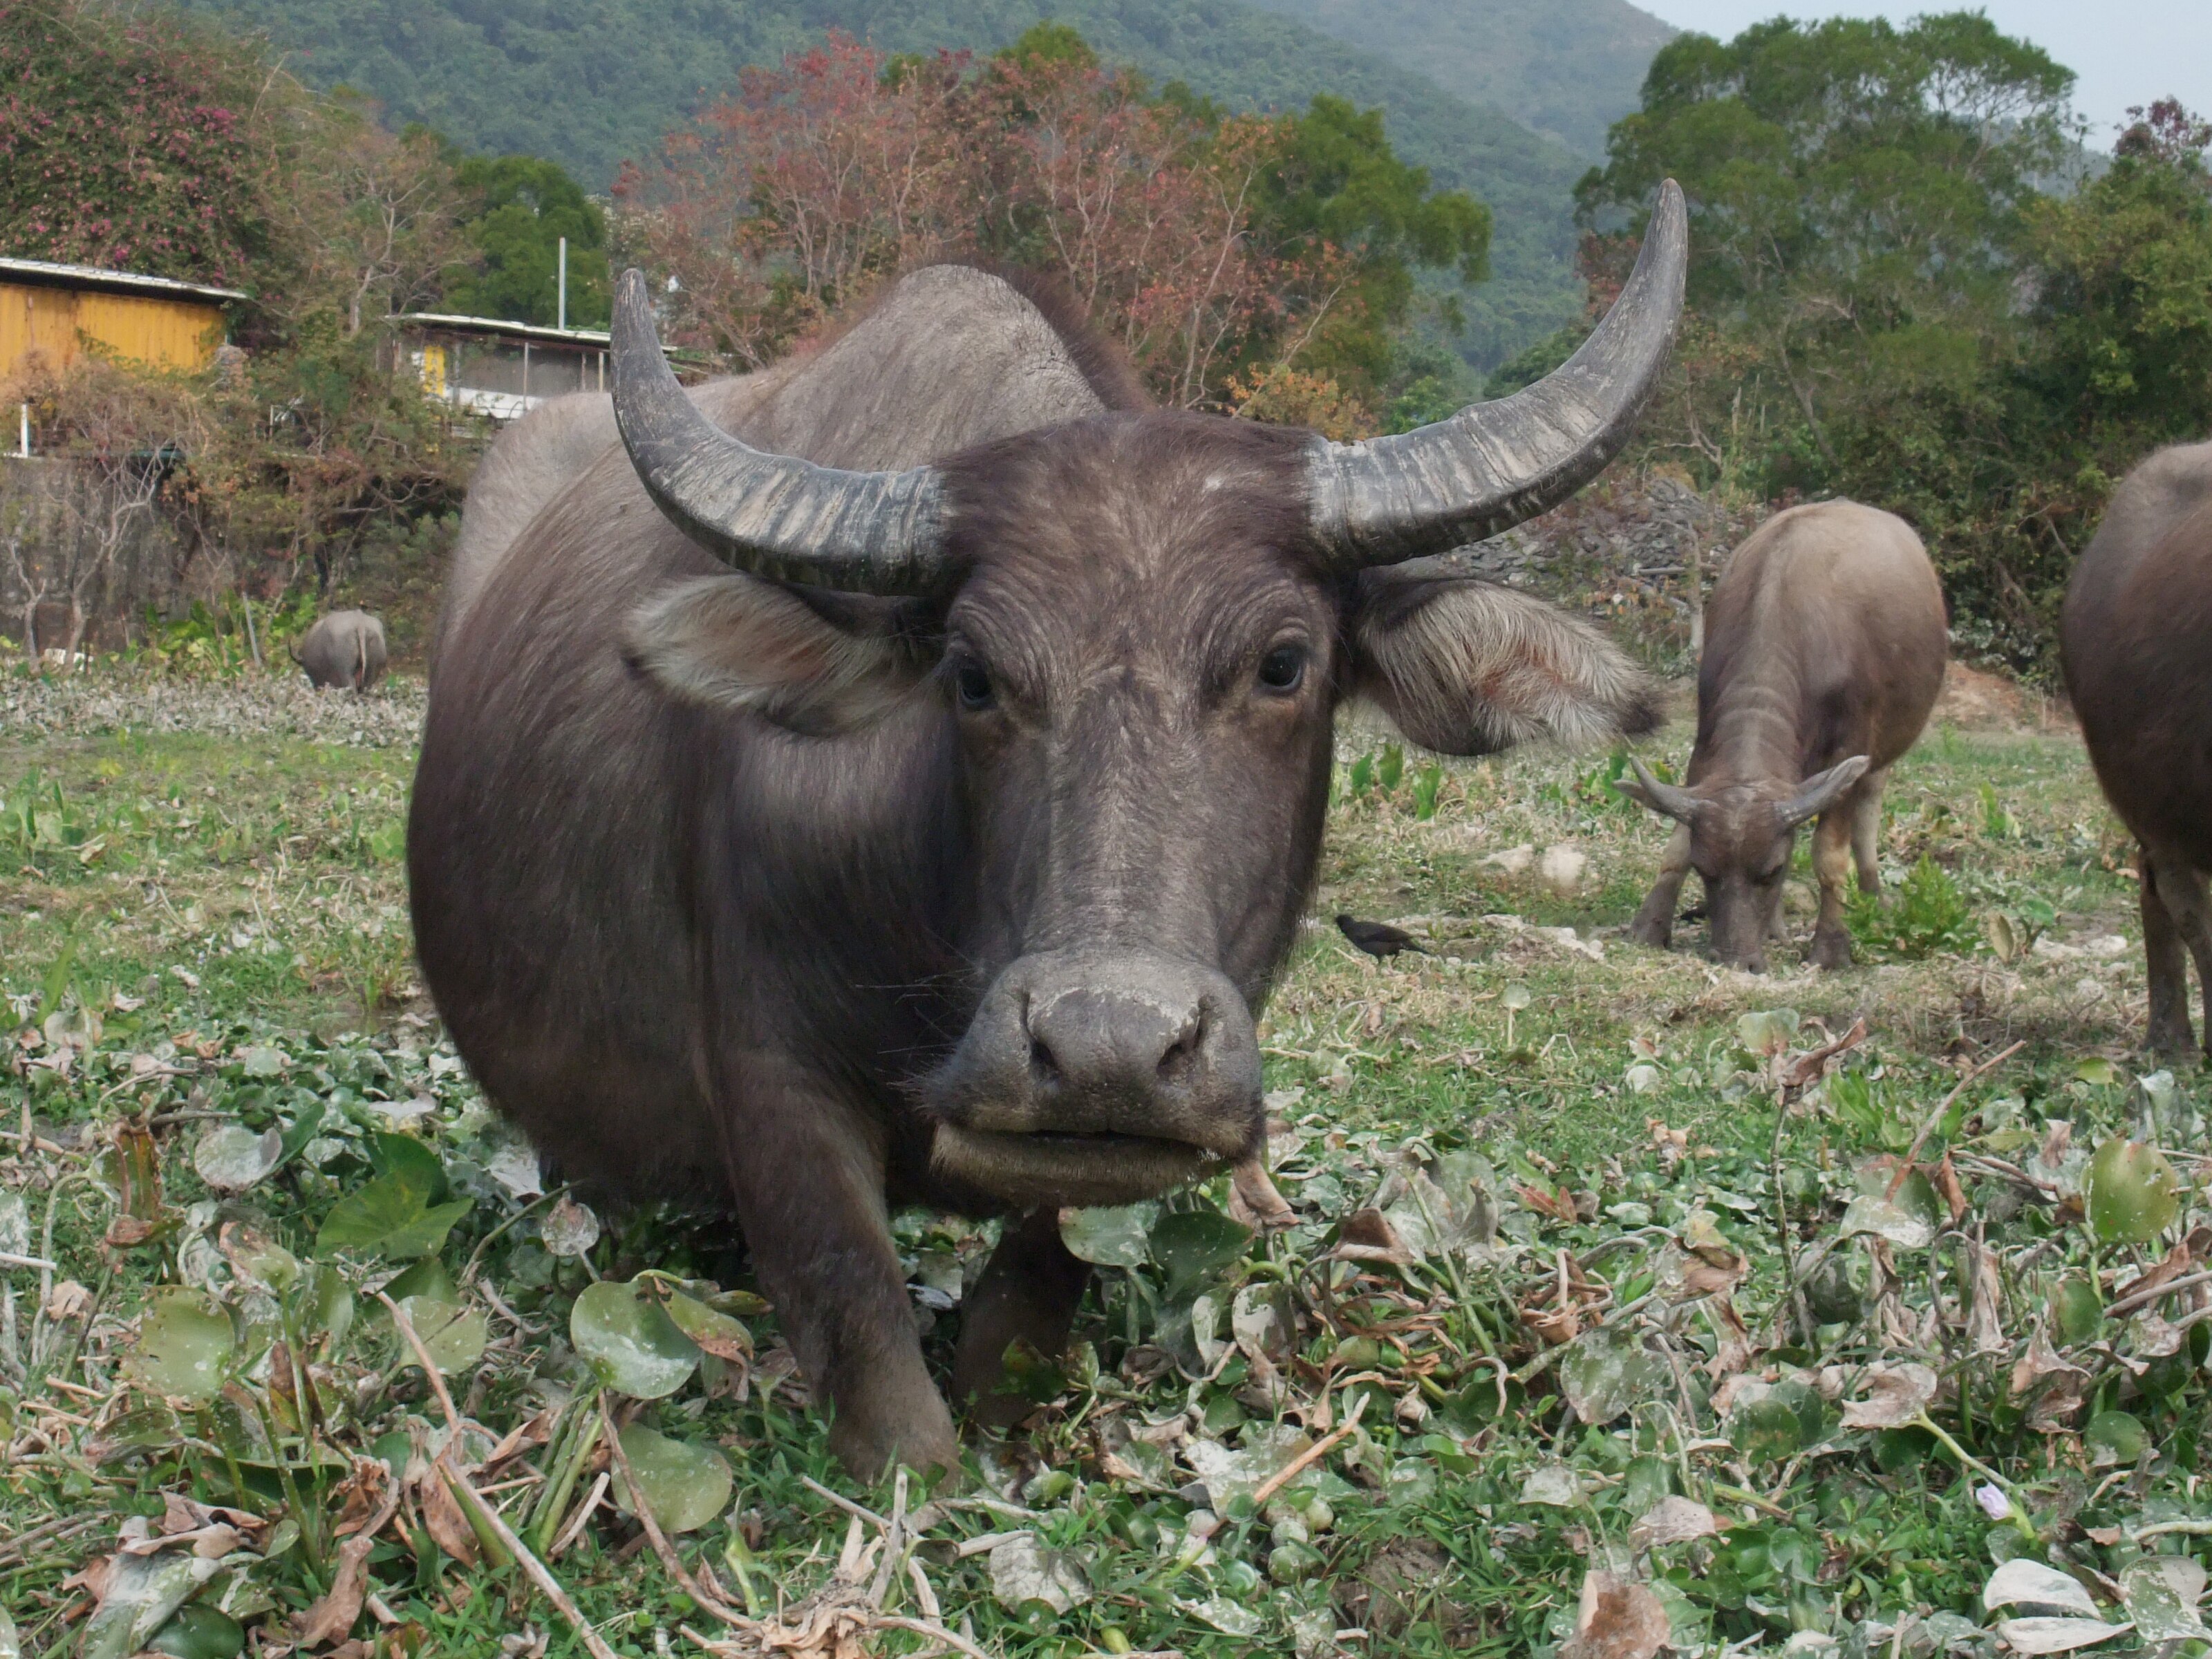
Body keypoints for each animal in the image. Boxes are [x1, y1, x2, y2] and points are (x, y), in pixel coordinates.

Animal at [411, 188, 1689, 1477]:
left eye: (1285, 664)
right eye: (972, 677)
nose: (1106, 1046)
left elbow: (1034, 1292)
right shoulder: (769, 1081)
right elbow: (863, 1328)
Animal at [1619, 504, 1947, 973]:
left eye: (1771, 872)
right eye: (1706, 870)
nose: (1736, 959)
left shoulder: (1852, 747)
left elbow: (1830, 854)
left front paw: (1832, 948)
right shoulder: (1706, 747)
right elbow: (1677, 843)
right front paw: (1650, 925)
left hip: (1883, 757)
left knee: (1867, 820)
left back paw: (1874, 901)